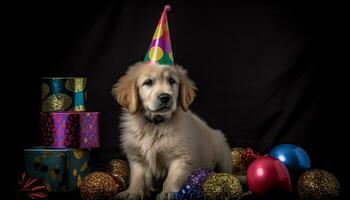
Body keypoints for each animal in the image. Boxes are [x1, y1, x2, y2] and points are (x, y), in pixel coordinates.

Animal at [113, 61, 232, 199]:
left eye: (171, 81)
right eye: (148, 82)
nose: (165, 97)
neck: (156, 124)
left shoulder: (182, 157)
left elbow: (172, 178)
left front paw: (168, 192)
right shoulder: (137, 157)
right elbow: (138, 178)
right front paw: (131, 192)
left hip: (223, 152)